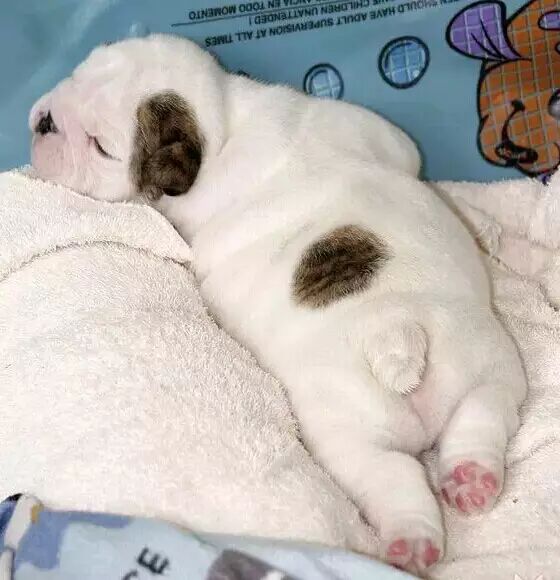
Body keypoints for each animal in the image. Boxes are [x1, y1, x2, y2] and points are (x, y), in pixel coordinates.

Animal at [29, 34, 527, 575]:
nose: (44, 119)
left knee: (386, 470)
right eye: (78, 72)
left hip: (344, 423)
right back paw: (464, 490)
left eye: (102, 147)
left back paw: (411, 538)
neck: (224, 122)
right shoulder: (376, 132)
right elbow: (409, 155)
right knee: (474, 421)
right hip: (484, 363)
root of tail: (396, 331)